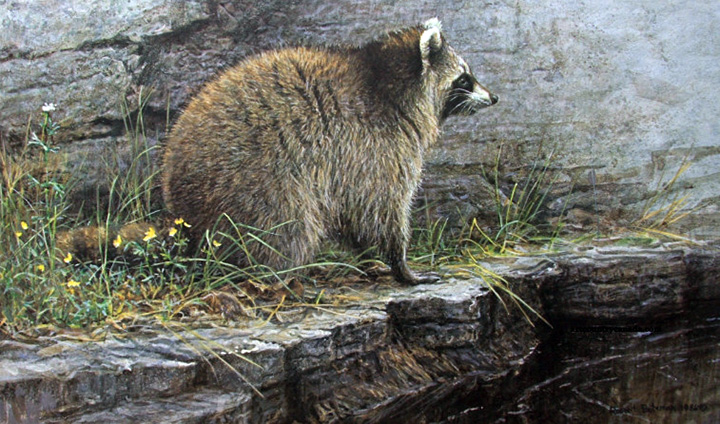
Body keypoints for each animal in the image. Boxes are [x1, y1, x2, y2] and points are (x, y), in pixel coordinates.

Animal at [161, 18, 498, 284]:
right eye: (464, 78)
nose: (494, 97)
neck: (385, 83)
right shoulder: (374, 147)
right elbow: (379, 210)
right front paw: (400, 265)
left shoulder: (351, 156)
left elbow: (350, 212)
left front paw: (367, 257)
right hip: (257, 183)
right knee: (287, 227)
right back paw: (276, 275)